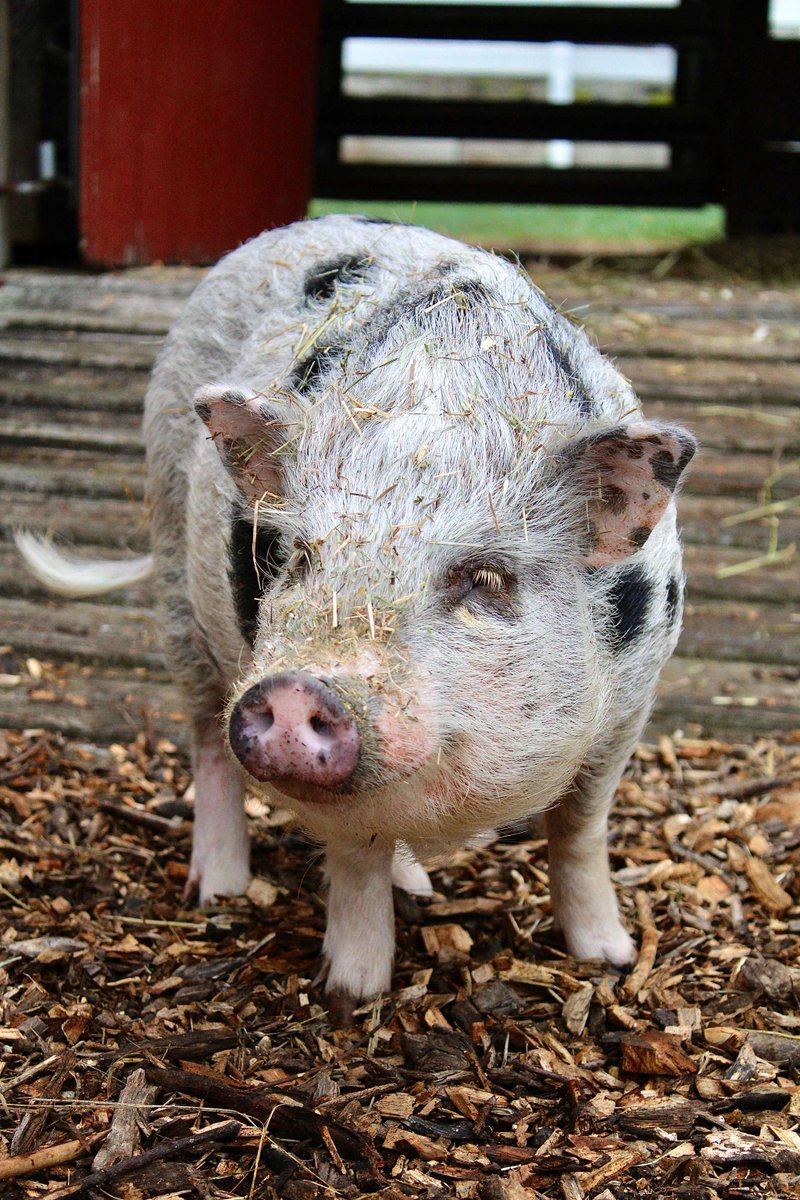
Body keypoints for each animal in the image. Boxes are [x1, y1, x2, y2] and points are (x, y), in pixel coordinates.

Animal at [17, 215, 696, 1012]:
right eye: (300, 557)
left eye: (485, 578)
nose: (296, 689)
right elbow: (353, 857)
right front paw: (352, 992)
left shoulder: (632, 705)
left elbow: (580, 828)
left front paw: (609, 958)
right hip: (175, 578)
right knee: (208, 741)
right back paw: (219, 893)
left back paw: (421, 886)